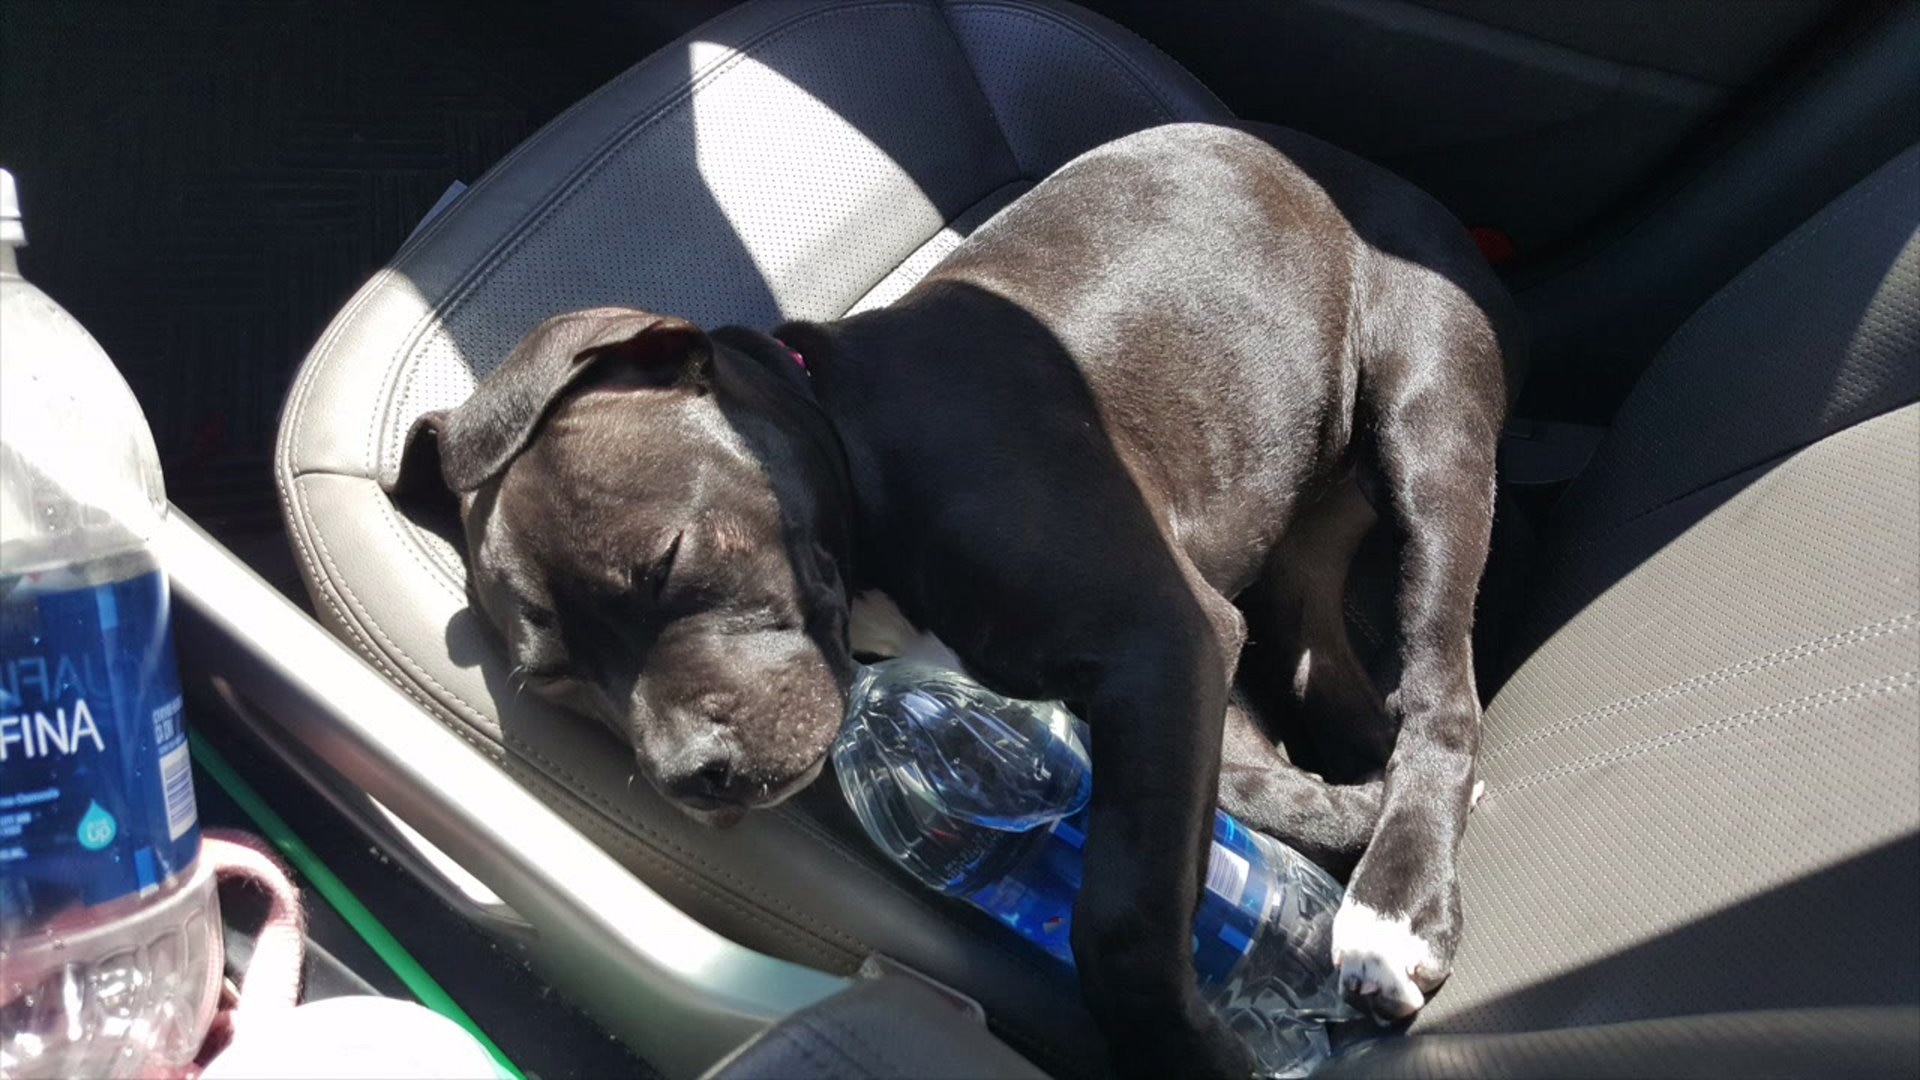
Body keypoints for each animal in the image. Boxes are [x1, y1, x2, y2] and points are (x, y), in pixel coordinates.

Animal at [404, 122, 1518, 1078]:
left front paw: (1183, 1051)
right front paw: (1337, 811)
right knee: (1339, 670)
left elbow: (1118, 916)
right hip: (1305, 536)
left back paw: (1397, 899)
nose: (689, 776)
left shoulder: (1161, 634)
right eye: (557, 679)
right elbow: (1234, 785)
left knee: (1440, 689)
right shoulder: (1183, 659)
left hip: (1428, 423)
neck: (852, 438)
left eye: (667, 561)